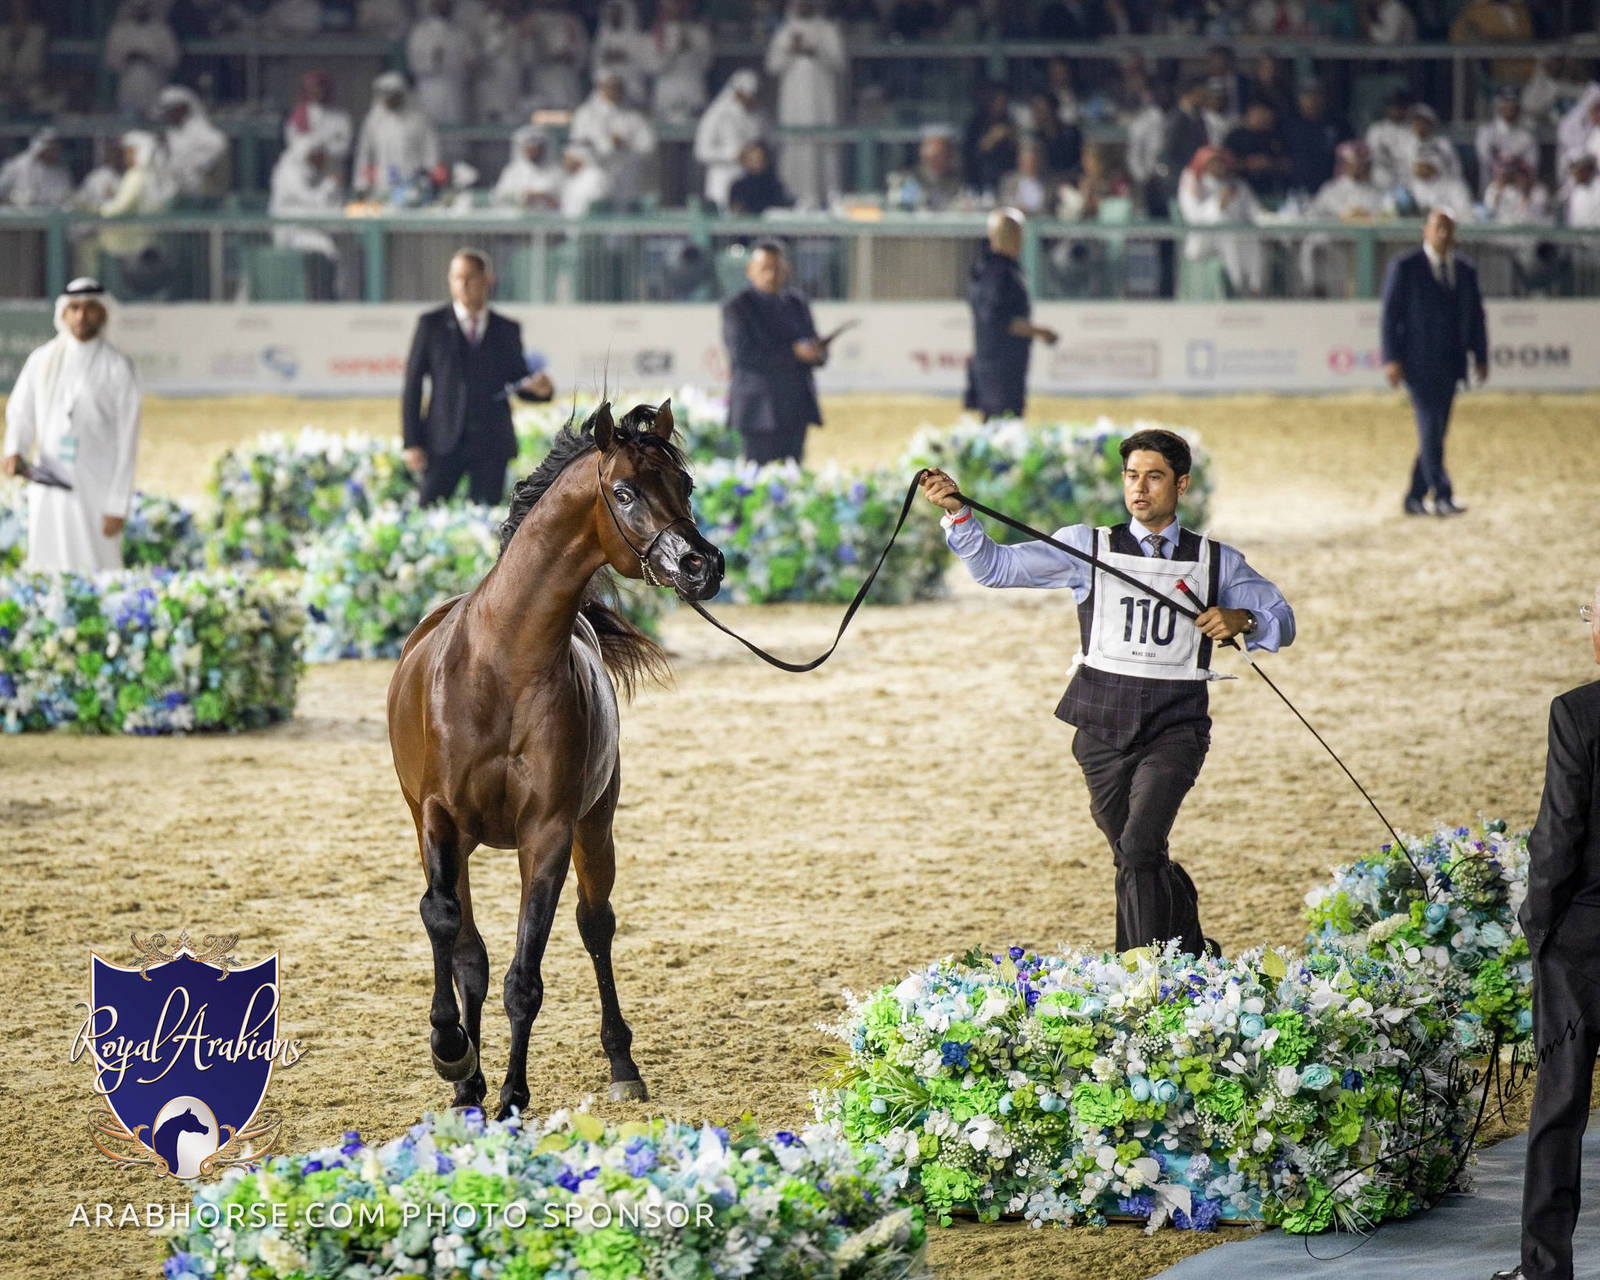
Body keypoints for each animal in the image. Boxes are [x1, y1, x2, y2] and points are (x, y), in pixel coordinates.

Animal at [386, 399, 724, 1118]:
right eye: (624, 491)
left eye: (684, 486)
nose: (703, 565)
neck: (502, 665)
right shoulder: (437, 819)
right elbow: (445, 925)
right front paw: (451, 1050)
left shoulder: (548, 833)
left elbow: (527, 977)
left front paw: (512, 1097)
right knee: (468, 951)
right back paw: (466, 1083)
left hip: (597, 827)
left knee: (595, 928)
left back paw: (620, 1063)